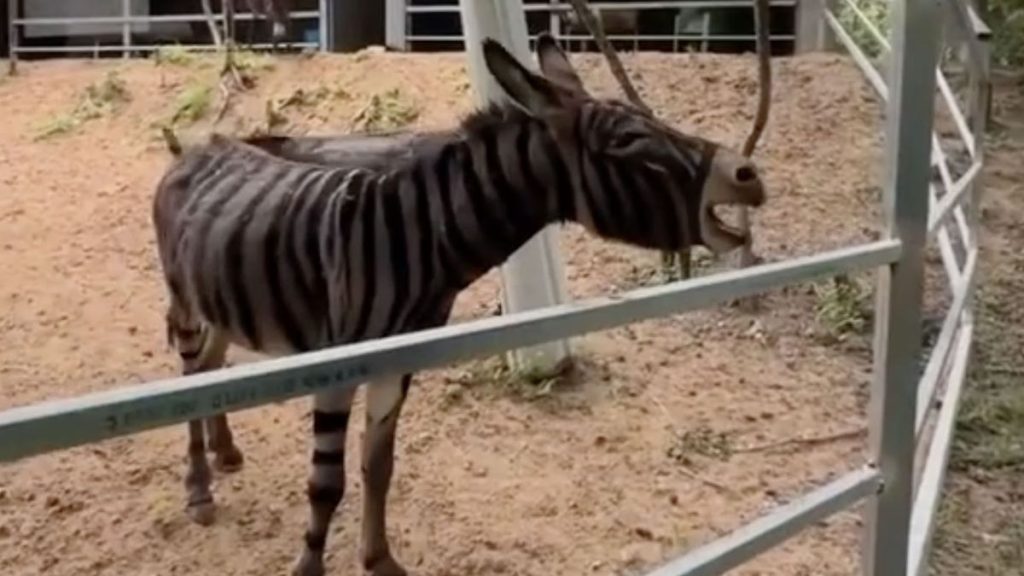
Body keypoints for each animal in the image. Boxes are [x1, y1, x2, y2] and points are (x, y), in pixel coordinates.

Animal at [151, 33, 766, 576]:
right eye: (628, 141)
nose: (748, 174)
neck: (425, 237)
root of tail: (200, 146)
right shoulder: (338, 364)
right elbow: (326, 483)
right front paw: (308, 568)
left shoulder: (398, 362)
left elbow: (379, 465)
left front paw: (380, 560)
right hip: (185, 302)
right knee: (190, 374)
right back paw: (199, 489)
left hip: (224, 297)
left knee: (213, 367)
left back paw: (225, 452)